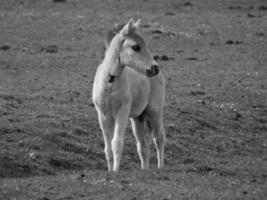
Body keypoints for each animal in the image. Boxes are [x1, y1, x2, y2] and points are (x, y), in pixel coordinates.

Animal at [93, 19, 166, 172]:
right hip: (138, 118)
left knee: (159, 138)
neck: (109, 84)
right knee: (143, 146)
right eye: (136, 47)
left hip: (154, 111)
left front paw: (115, 171)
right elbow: (107, 149)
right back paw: (144, 170)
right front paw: (110, 171)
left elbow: (117, 143)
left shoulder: (122, 112)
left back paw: (160, 167)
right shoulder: (103, 116)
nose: (155, 68)